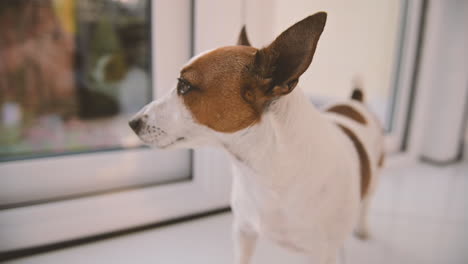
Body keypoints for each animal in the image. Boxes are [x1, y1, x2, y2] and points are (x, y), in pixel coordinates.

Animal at [129, 12, 384, 264]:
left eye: (184, 86)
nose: (132, 122)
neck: (265, 172)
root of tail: (354, 101)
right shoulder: (244, 232)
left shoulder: (327, 254)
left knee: (368, 201)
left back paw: (363, 228)